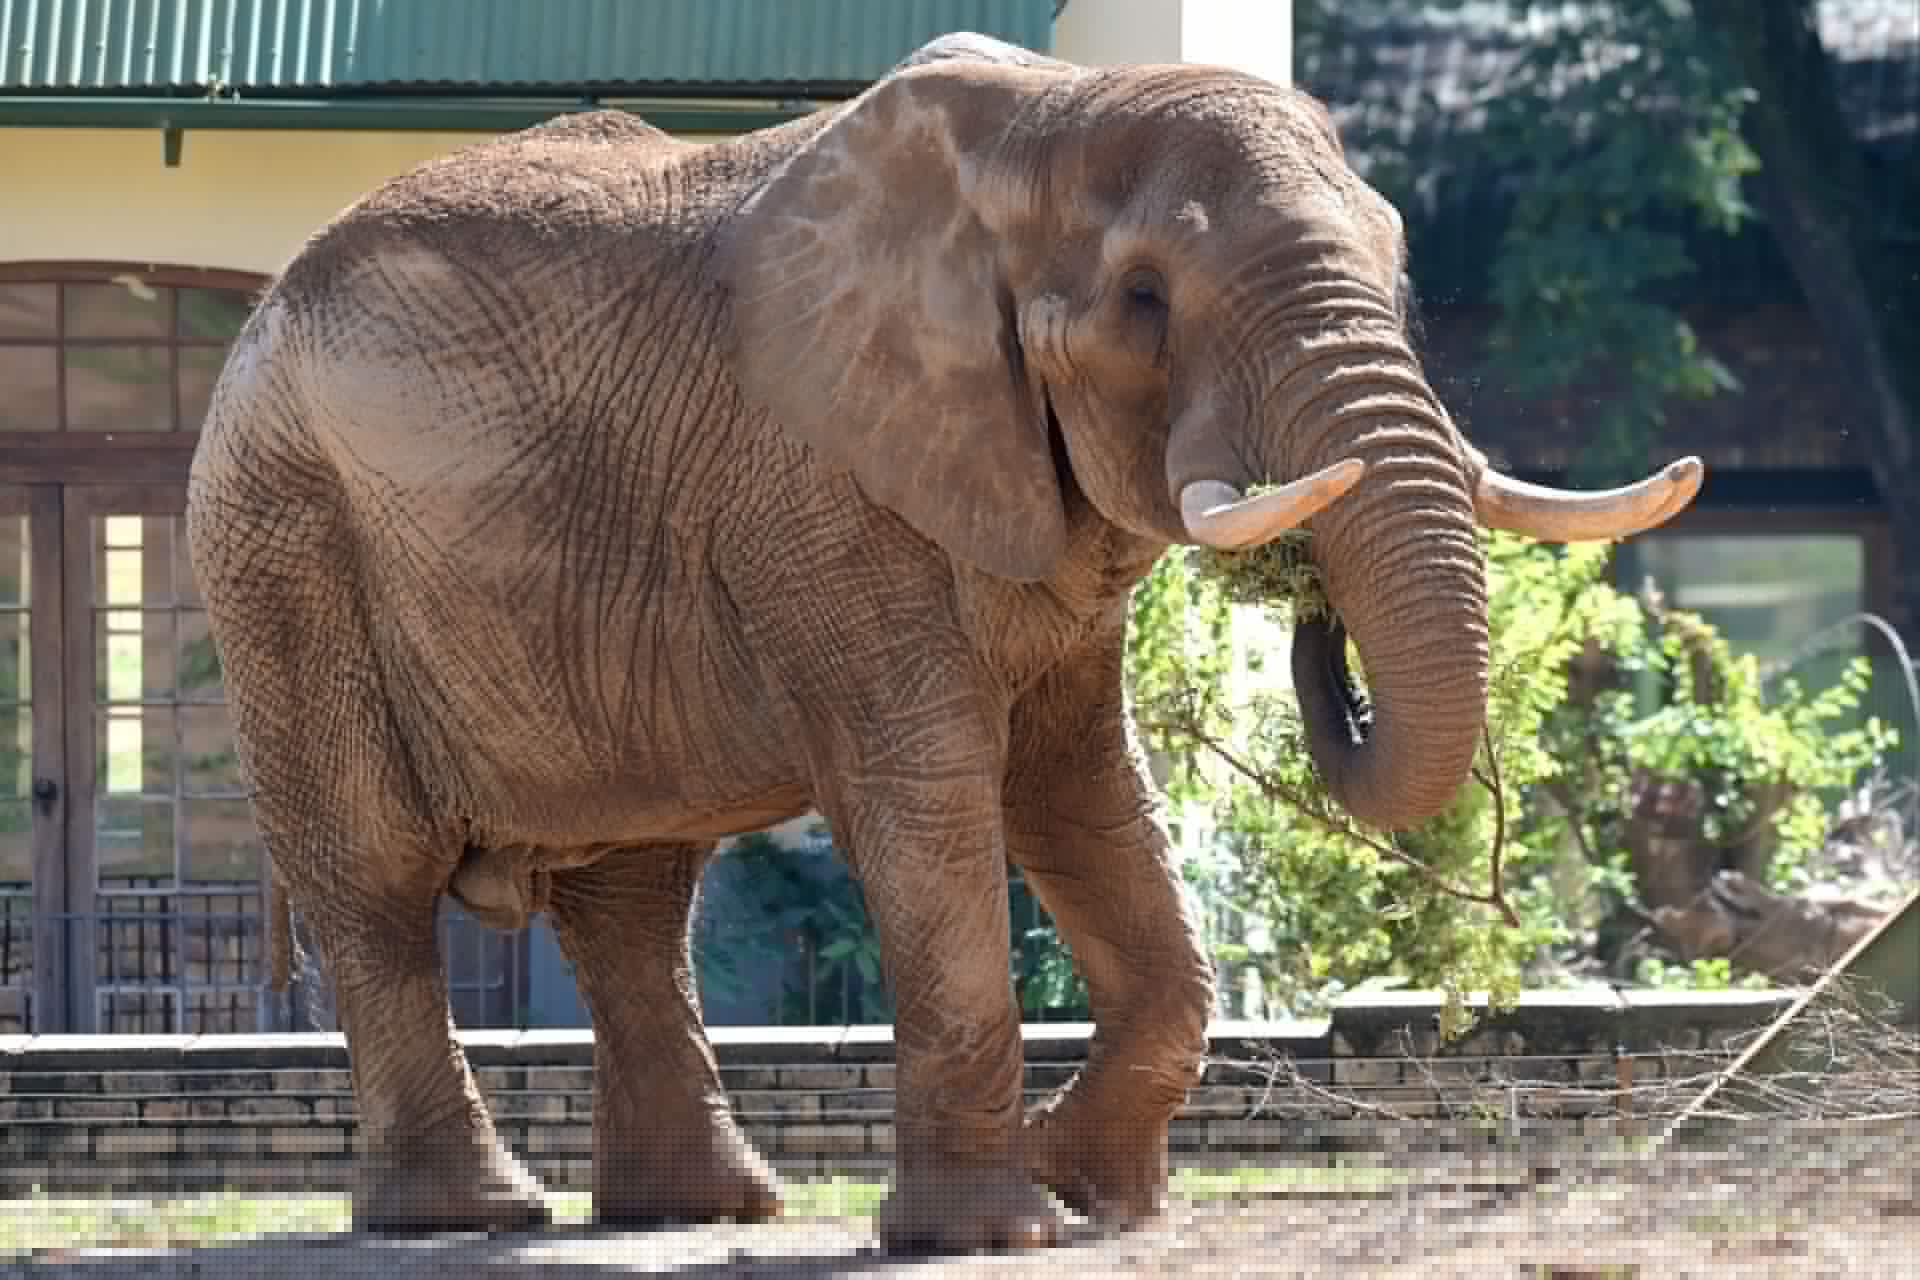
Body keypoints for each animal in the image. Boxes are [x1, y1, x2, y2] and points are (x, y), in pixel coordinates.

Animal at [186, 31, 1702, 1253]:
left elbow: (1083, 790)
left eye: (1398, 268)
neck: (1049, 122)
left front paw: (1091, 1198)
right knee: (381, 881)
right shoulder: (821, 485)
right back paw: (472, 1213)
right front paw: (1000, 1230)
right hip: (282, 540)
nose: (1312, 617)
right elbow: (926, 787)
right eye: (1146, 299)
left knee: (634, 893)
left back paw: (701, 1210)